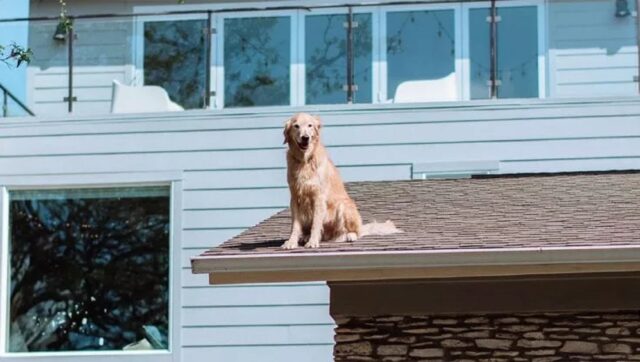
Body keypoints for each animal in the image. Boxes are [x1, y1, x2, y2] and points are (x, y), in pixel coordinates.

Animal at [282, 113, 398, 249]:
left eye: (310, 125)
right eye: (296, 126)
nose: (305, 138)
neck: (304, 160)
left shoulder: (318, 197)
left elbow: (316, 223)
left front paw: (313, 241)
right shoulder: (295, 197)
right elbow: (294, 225)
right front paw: (291, 242)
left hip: (344, 205)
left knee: (351, 232)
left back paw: (349, 235)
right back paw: (306, 236)